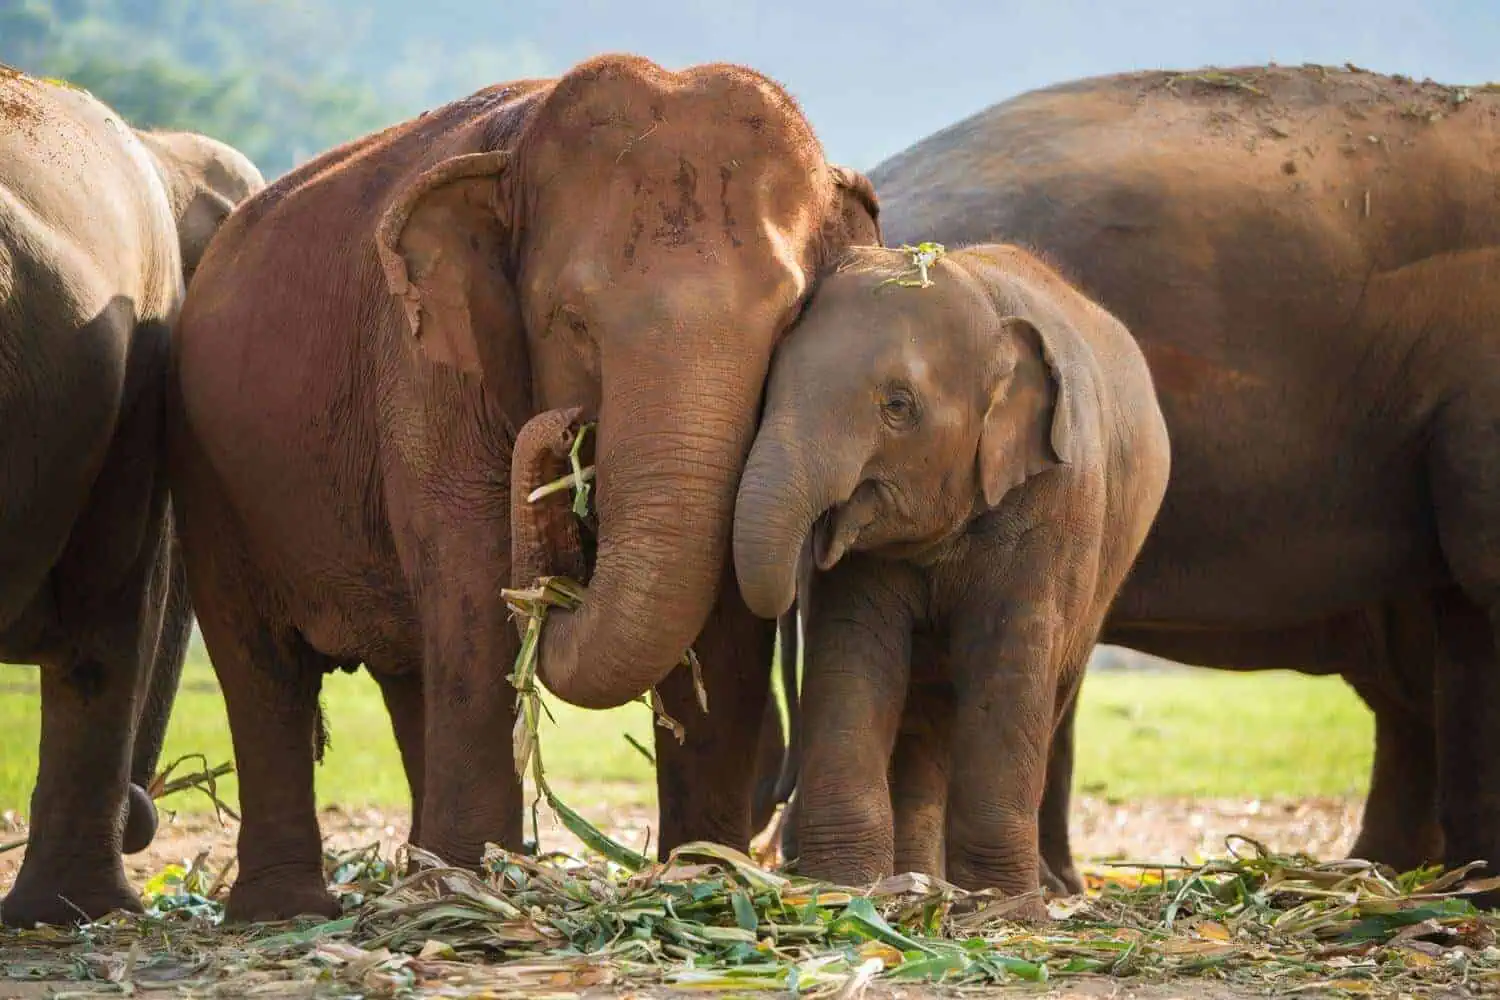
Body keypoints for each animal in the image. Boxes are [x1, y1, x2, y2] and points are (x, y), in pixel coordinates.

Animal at [169, 53, 880, 923]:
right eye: (572, 322)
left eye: (788, 323)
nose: (565, 429)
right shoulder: (425, 371)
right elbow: (476, 592)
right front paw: (480, 890)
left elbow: (726, 616)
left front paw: (703, 879)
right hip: (208, 469)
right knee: (261, 665)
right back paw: (298, 909)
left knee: (407, 672)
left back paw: (422, 872)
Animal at [731, 243, 1170, 917]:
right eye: (767, 387)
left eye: (898, 406)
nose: (817, 543)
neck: (984, 298)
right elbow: (853, 652)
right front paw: (842, 889)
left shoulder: (1058, 504)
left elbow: (1008, 668)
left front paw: (1002, 907)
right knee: (925, 716)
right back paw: (915, 883)